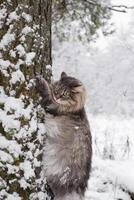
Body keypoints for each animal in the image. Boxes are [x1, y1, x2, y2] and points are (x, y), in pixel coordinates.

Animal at [35, 72, 92, 200]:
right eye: (57, 88)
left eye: (65, 93)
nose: (57, 96)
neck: (75, 110)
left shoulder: (51, 105)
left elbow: (46, 93)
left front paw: (41, 81)